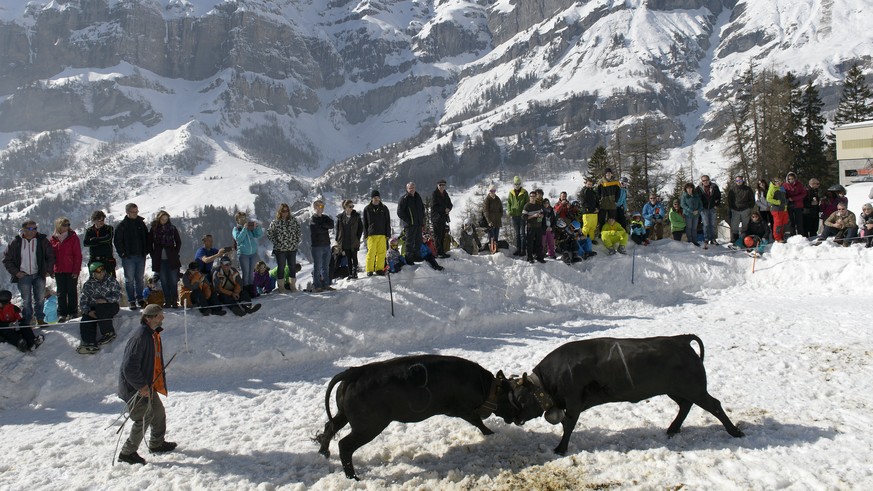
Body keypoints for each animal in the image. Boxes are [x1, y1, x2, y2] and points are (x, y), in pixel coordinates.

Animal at [316, 356, 516, 478]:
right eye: (512, 399)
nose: (518, 418)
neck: (486, 386)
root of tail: (355, 372)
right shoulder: (463, 410)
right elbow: (478, 421)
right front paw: (491, 433)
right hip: (369, 426)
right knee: (344, 445)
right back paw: (353, 477)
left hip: (344, 415)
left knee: (329, 427)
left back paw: (324, 452)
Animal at [508, 336, 744, 456]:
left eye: (520, 399)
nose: (513, 418)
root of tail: (681, 340)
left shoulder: (574, 402)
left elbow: (568, 425)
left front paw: (560, 449)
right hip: (676, 390)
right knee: (685, 405)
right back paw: (672, 428)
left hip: (694, 388)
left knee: (714, 405)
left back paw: (735, 432)